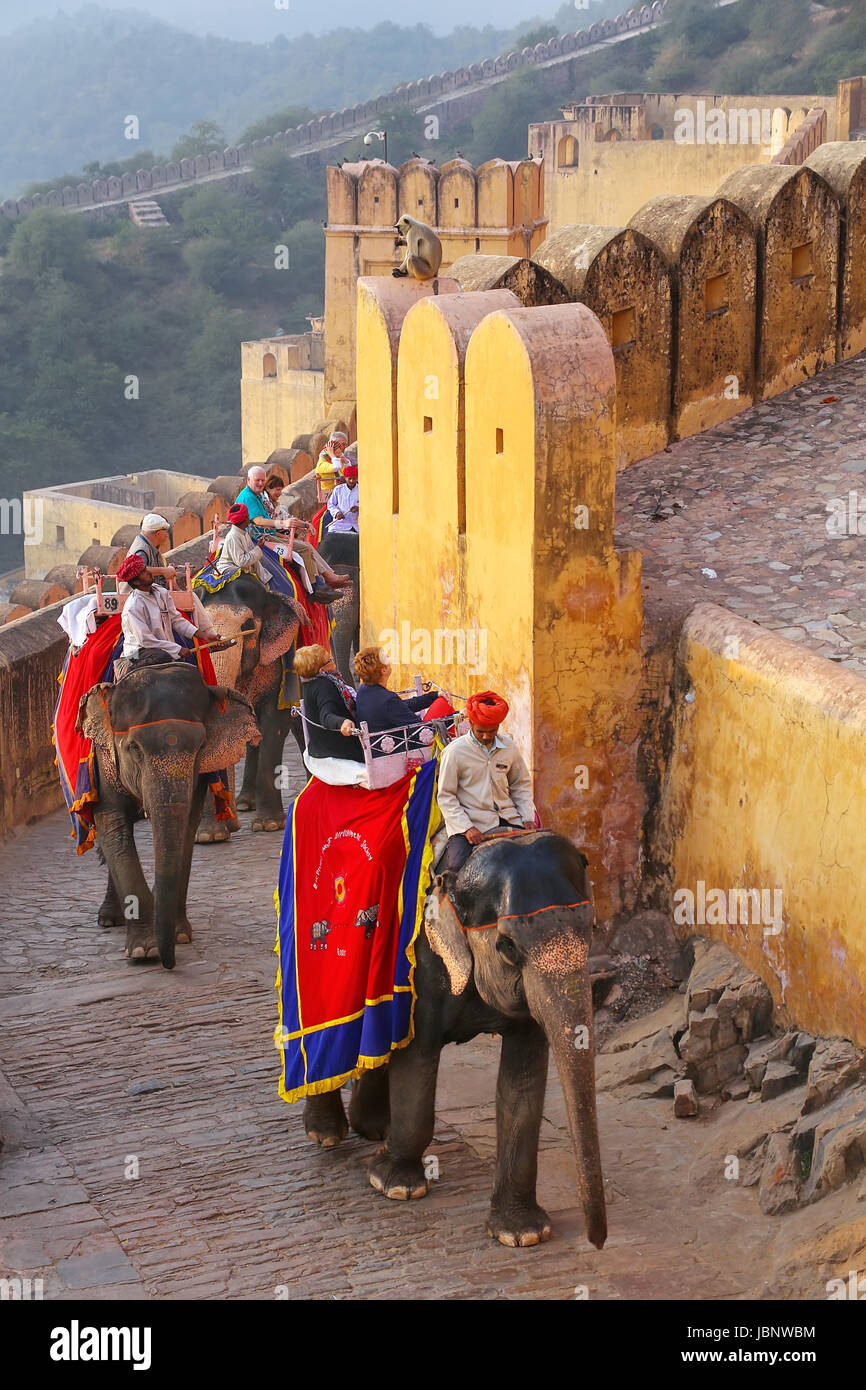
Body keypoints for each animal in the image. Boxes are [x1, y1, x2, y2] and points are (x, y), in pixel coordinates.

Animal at [79, 658, 258, 967]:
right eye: (134, 747)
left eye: (200, 746)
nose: (169, 963)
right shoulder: (103, 759)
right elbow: (112, 822)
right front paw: (144, 950)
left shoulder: (199, 772)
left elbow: (187, 825)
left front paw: (179, 935)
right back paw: (110, 919)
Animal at [301, 828, 606, 1256]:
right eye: (508, 946)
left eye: (591, 930)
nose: (597, 1242)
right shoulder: (419, 959)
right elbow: (416, 1057)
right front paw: (395, 1186)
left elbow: (523, 1081)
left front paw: (523, 1234)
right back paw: (327, 1134)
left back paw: (372, 1128)